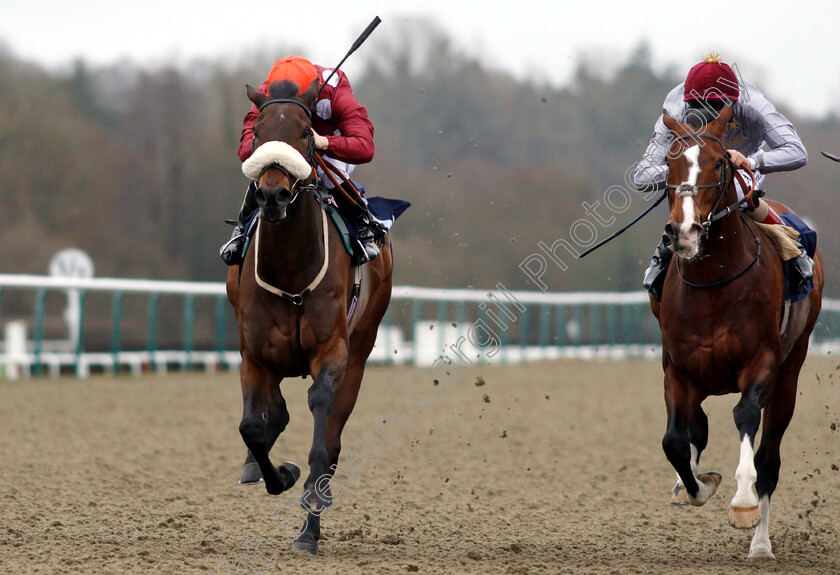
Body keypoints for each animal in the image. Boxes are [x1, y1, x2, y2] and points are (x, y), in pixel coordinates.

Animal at [223, 79, 394, 556]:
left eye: (304, 132)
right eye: (257, 132)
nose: (273, 194)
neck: (291, 267)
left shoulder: (332, 352)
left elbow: (322, 433)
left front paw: (309, 517)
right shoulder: (254, 356)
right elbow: (252, 427)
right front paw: (278, 473)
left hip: (361, 350)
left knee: (332, 436)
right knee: (274, 415)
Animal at [652, 106, 824, 560]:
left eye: (719, 163)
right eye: (669, 164)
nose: (684, 231)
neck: (714, 284)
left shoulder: (761, 362)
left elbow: (745, 416)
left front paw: (743, 503)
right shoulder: (678, 371)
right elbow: (674, 440)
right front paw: (697, 484)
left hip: (790, 372)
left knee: (770, 458)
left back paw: (760, 542)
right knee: (696, 428)